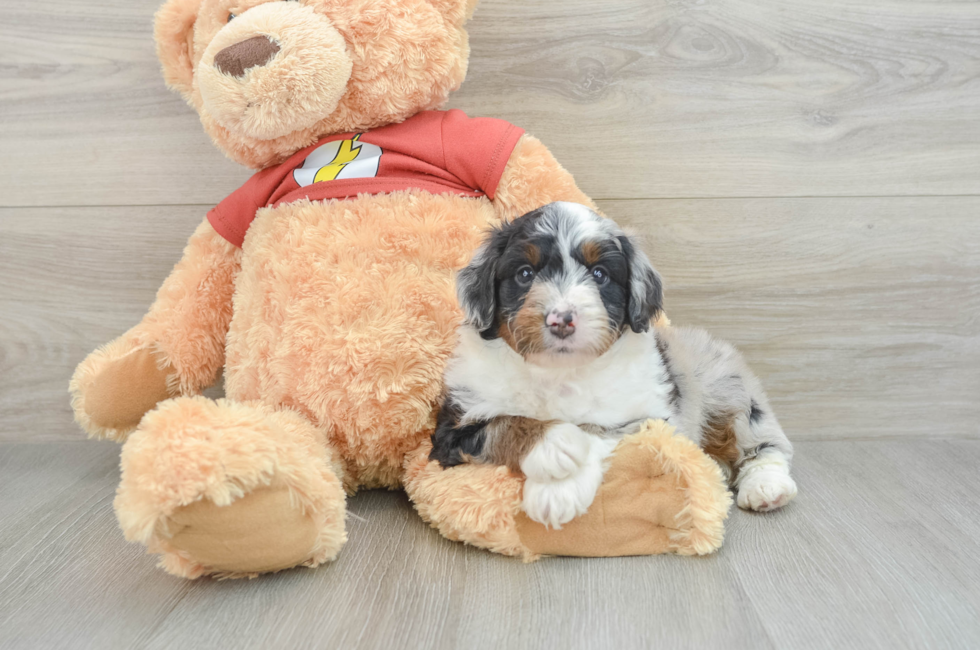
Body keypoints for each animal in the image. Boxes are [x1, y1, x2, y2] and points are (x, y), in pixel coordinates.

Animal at [428, 201, 796, 528]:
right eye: (525, 273)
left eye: (600, 274)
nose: (561, 320)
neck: (558, 371)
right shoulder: (452, 428)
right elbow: (502, 425)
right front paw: (555, 445)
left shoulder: (650, 417)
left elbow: (601, 430)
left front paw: (558, 492)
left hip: (725, 387)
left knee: (761, 438)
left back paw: (766, 485)